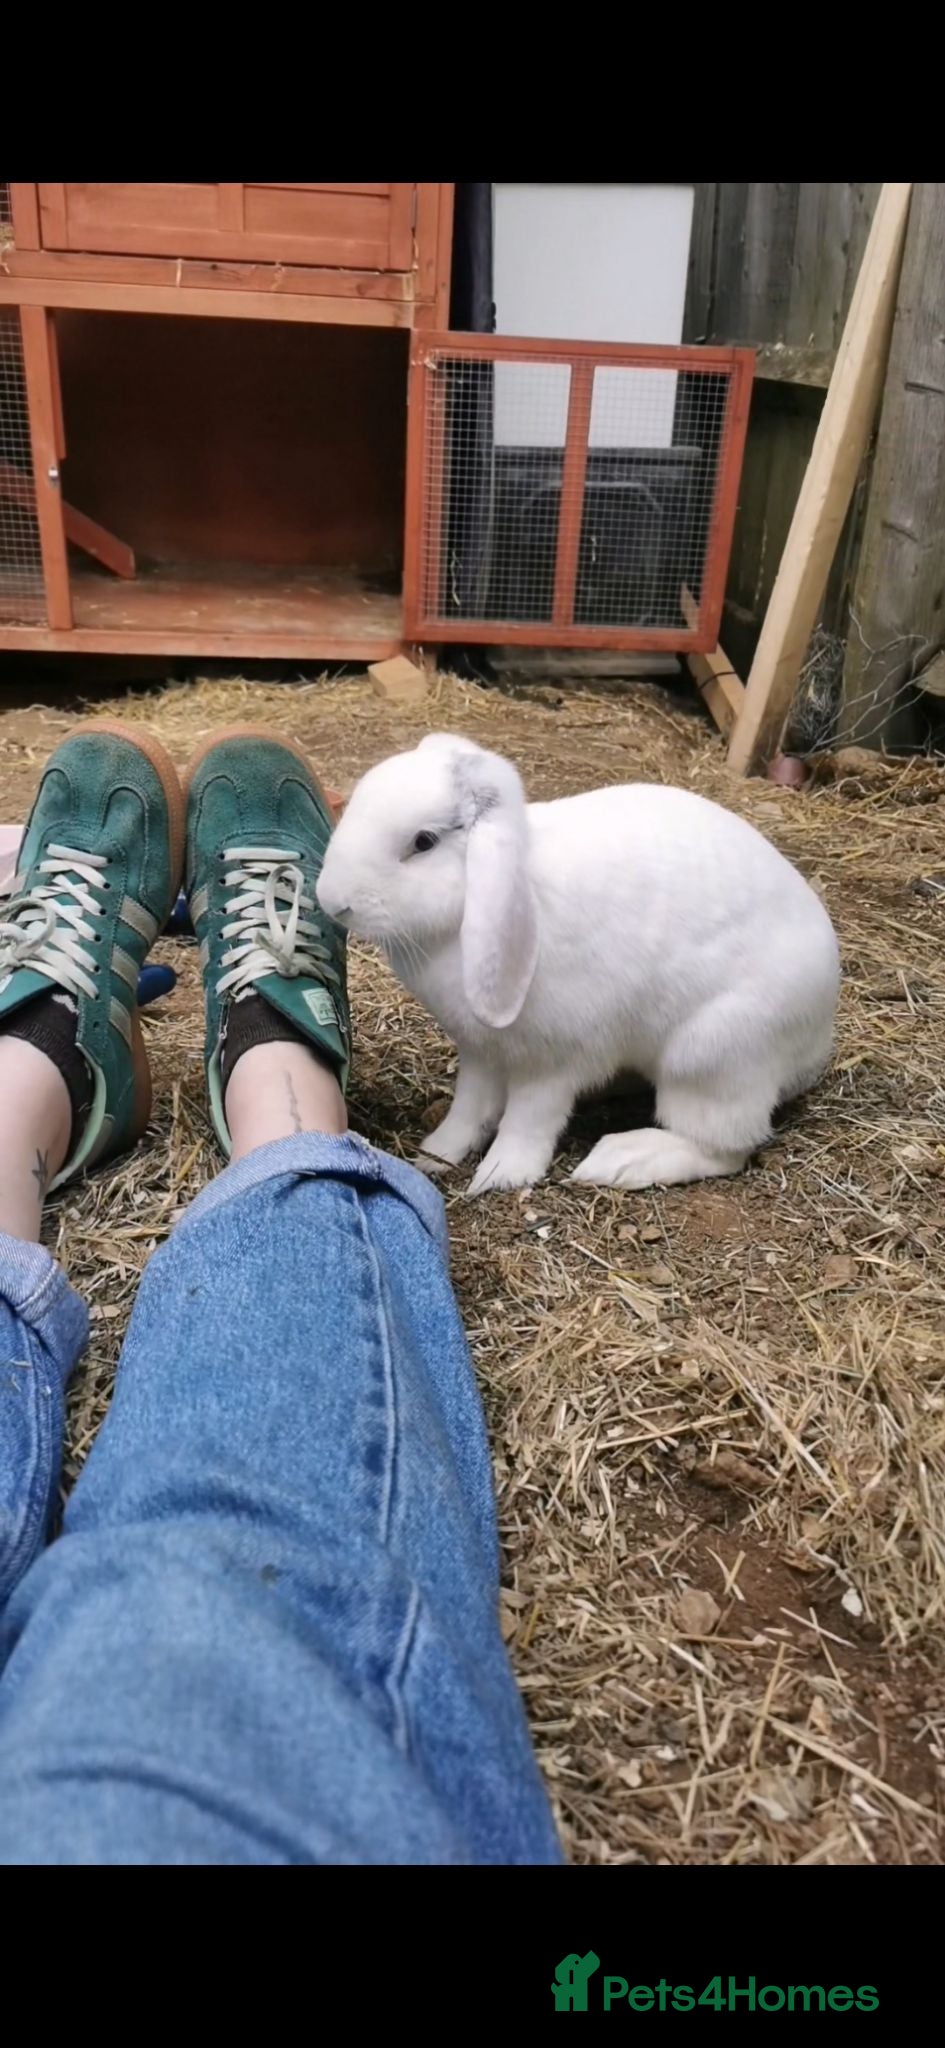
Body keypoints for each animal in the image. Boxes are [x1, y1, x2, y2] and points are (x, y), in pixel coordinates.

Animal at [316, 734, 840, 1195]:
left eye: (423, 842)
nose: (331, 900)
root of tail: (817, 1040)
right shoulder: (482, 1053)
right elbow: (470, 1107)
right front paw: (436, 1154)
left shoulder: (551, 1063)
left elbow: (528, 1120)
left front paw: (501, 1174)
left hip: (711, 1057)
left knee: (725, 1147)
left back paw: (619, 1161)